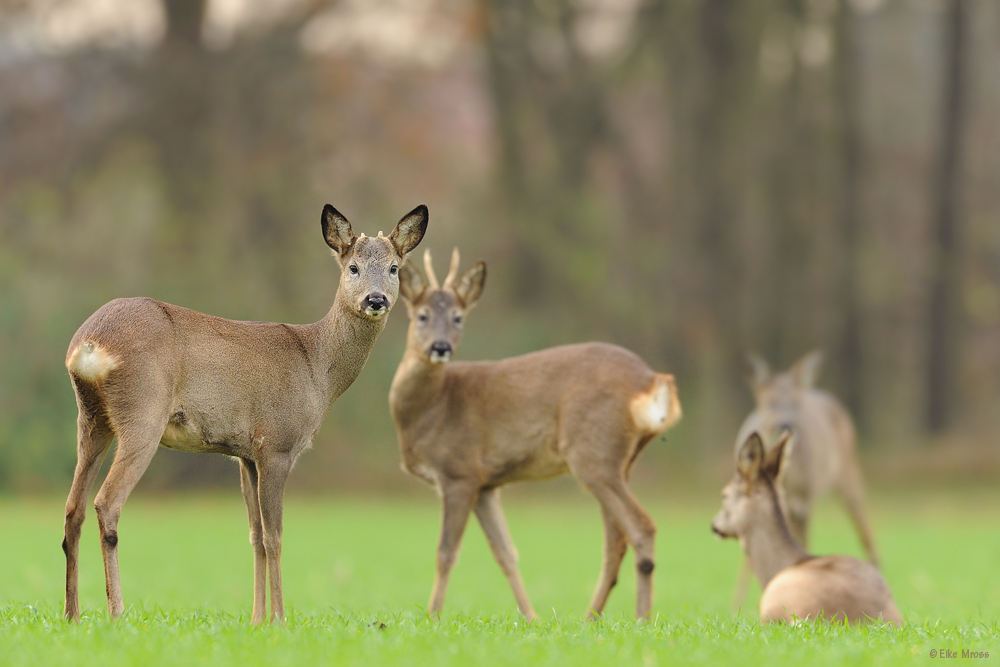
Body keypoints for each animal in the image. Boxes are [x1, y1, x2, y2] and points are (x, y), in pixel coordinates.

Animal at [58, 205, 426, 628]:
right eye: (353, 267)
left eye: (394, 267)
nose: (376, 299)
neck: (317, 367)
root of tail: (89, 345)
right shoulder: (277, 444)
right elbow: (275, 536)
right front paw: (280, 619)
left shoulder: (244, 454)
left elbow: (254, 536)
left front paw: (256, 619)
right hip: (142, 412)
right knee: (106, 502)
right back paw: (117, 612)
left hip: (91, 419)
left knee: (73, 509)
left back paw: (72, 614)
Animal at [386, 249, 684, 620]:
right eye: (422, 315)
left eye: (458, 318)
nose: (440, 348)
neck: (433, 408)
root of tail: (650, 380)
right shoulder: (486, 484)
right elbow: (506, 554)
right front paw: (531, 617)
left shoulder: (459, 471)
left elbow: (446, 553)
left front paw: (432, 616)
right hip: (619, 462)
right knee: (616, 542)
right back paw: (590, 619)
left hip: (591, 452)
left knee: (641, 527)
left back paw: (640, 618)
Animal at [732, 354, 880, 612]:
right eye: (770, 401)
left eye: (795, 403)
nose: (786, 424)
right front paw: (736, 607)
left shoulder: (803, 501)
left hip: (849, 474)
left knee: (865, 532)